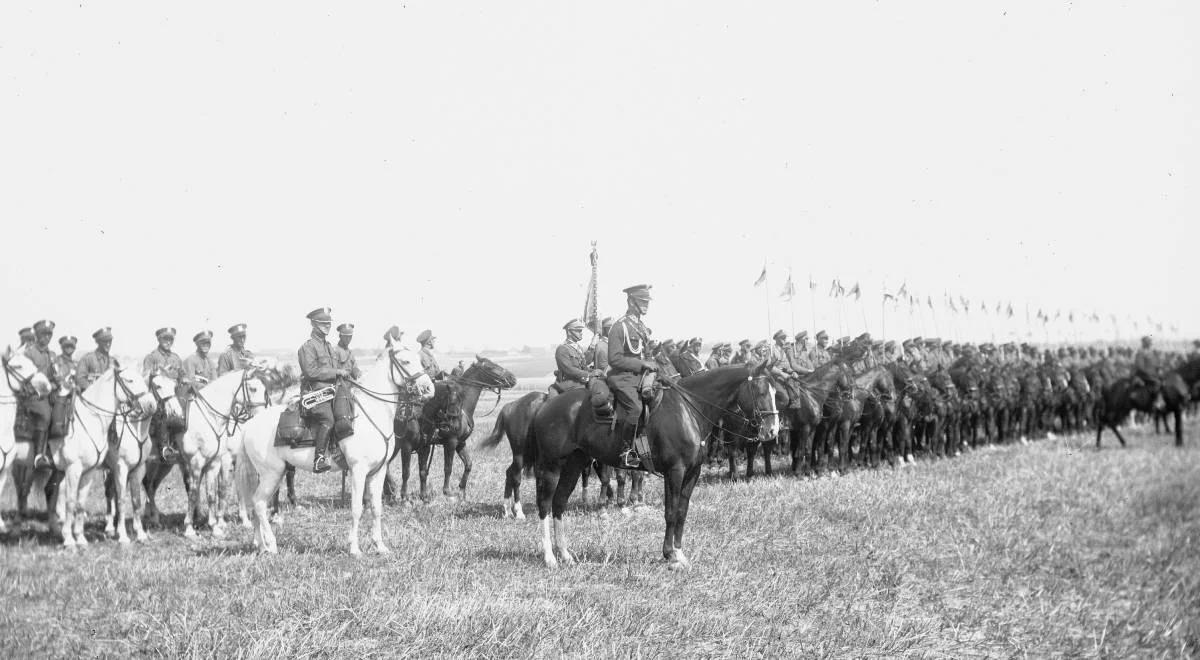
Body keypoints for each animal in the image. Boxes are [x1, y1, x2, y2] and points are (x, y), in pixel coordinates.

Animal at [232, 336, 432, 559]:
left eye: (419, 360)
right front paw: (354, 549)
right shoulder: (358, 471)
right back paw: (272, 545)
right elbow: (356, 509)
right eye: (405, 361)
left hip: (270, 474)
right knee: (259, 504)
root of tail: (250, 425)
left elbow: (376, 508)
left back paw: (260, 545)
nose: (429, 389)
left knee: (256, 505)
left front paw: (380, 546)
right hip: (271, 474)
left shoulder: (378, 472)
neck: (371, 412)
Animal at [388, 357, 511, 506]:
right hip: (396, 446)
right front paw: (447, 492)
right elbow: (447, 467)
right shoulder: (449, 442)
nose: (513, 378)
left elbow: (467, 464)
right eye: (491, 367)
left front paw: (461, 492)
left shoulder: (458, 443)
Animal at [528, 364, 777, 571]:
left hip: (574, 463)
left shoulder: (692, 473)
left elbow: (682, 512)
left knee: (559, 503)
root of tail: (544, 406)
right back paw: (550, 557)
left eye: (776, 392)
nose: (772, 430)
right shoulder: (675, 471)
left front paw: (679, 553)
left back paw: (565, 555)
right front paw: (670, 556)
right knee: (545, 505)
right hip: (552, 467)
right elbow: (671, 512)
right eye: (762, 392)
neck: (689, 409)